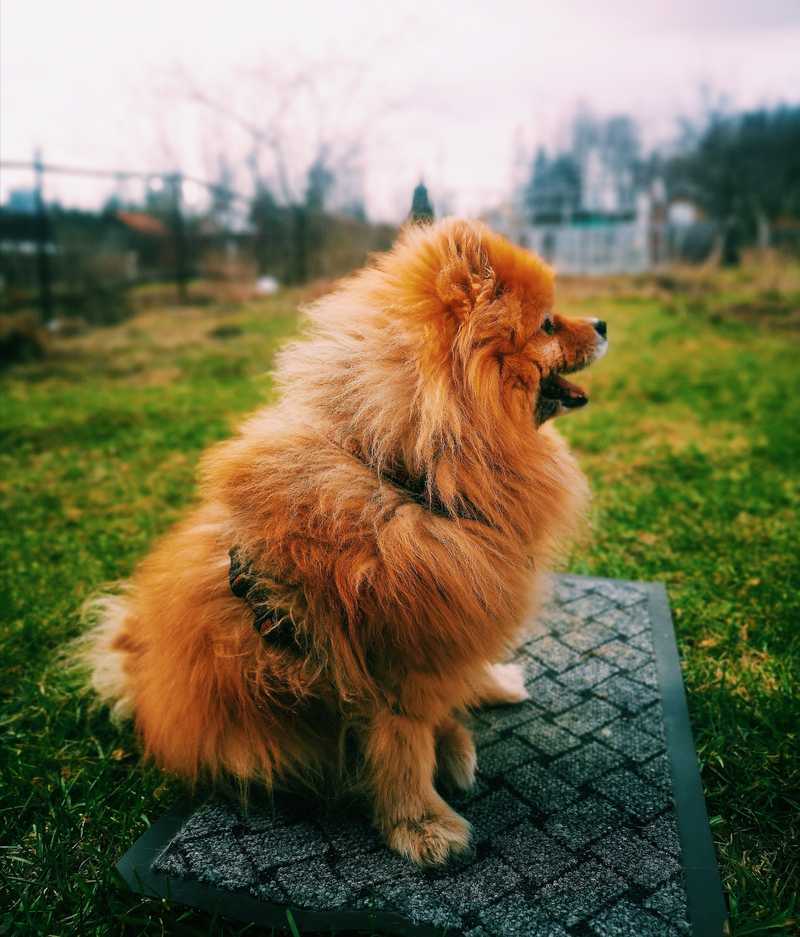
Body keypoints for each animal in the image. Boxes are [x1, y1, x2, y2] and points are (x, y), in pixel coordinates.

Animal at [81, 218, 608, 864]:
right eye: (549, 324)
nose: (604, 324)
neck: (410, 476)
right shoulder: (390, 657)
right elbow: (403, 746)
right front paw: (422, 826)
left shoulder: (442, 618)